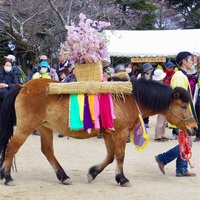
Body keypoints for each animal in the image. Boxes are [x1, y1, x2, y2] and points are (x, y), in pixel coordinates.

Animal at [0, 77, 198, 186]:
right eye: (183, 106)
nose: (194, 128)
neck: (128, 98)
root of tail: (23, 86)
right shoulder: (119, 133)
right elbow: (119, 156)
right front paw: (122, 178)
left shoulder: (109, 134)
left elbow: (110, 157)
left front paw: (93, 172)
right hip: (26, 127)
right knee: (11, 148)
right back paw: (7, 176)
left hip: (45, 127)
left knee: (47, 151)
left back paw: (63, 176)